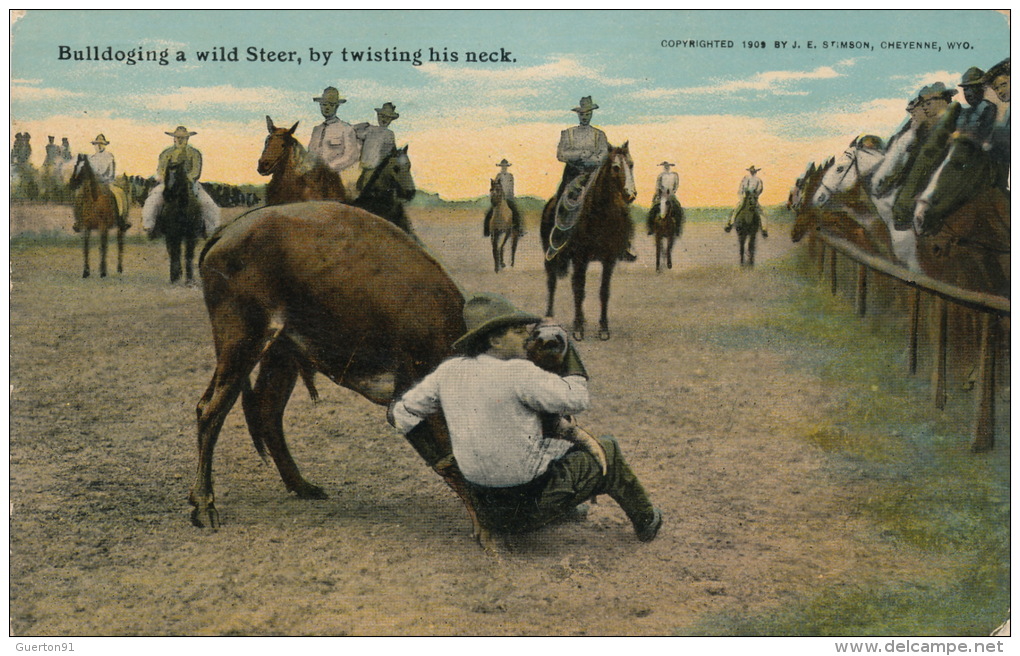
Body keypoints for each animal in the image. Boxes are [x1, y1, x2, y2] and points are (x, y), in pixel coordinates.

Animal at [190, 203, 485, 542]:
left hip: (281, 352)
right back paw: (204, 505)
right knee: (211, 410)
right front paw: (486, 531)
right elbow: (450, 457)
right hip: (242, 340)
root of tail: (226, 231)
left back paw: (302, 486)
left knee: (266, 412)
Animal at [538, 140, 632, 340]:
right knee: (552, 283)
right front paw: (578, 328)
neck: (600, 215)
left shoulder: (609, 259)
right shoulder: (579, 258)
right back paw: (549, 317)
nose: (630, 193)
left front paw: (603, 328)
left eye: (631, 164)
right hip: (550, 258)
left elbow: (604, 291)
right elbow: (579, 290)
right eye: (615, 167)